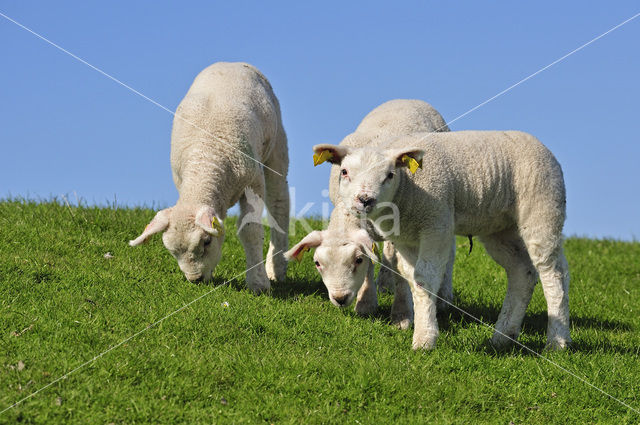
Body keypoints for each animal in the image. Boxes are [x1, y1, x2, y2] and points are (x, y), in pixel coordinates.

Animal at [129, 61, 288, 294]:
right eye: (172, 251)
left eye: (205, 242)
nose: (195, 279)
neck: (206, 158)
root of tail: (232, 62)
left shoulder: (253, 181)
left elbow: (250, 230)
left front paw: (258, 283)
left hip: (276, 143)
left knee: (279, 202)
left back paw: (276, 266)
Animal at [284, 98, 456, 324]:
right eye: (317, 263)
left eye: (357, 260)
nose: (340, 298)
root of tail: (407, 99)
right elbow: (374, 262)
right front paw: (366, 302)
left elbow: (397, 267)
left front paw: (401, 314)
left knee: (448, 253)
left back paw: (444, 297)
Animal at [314, 131, 568, 350]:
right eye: (344, 172)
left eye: (389, 175)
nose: (365, 199)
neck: (407, 189)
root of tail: (542, 146)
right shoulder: (405, 237)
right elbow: (411, 278)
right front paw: (421, 326)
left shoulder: (436, 224)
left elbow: (425, 277)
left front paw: (424, 340)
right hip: (500, 228)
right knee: (522, 272)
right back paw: (503, 336)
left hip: (542, 209)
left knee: (553, 272)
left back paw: (557, 341)